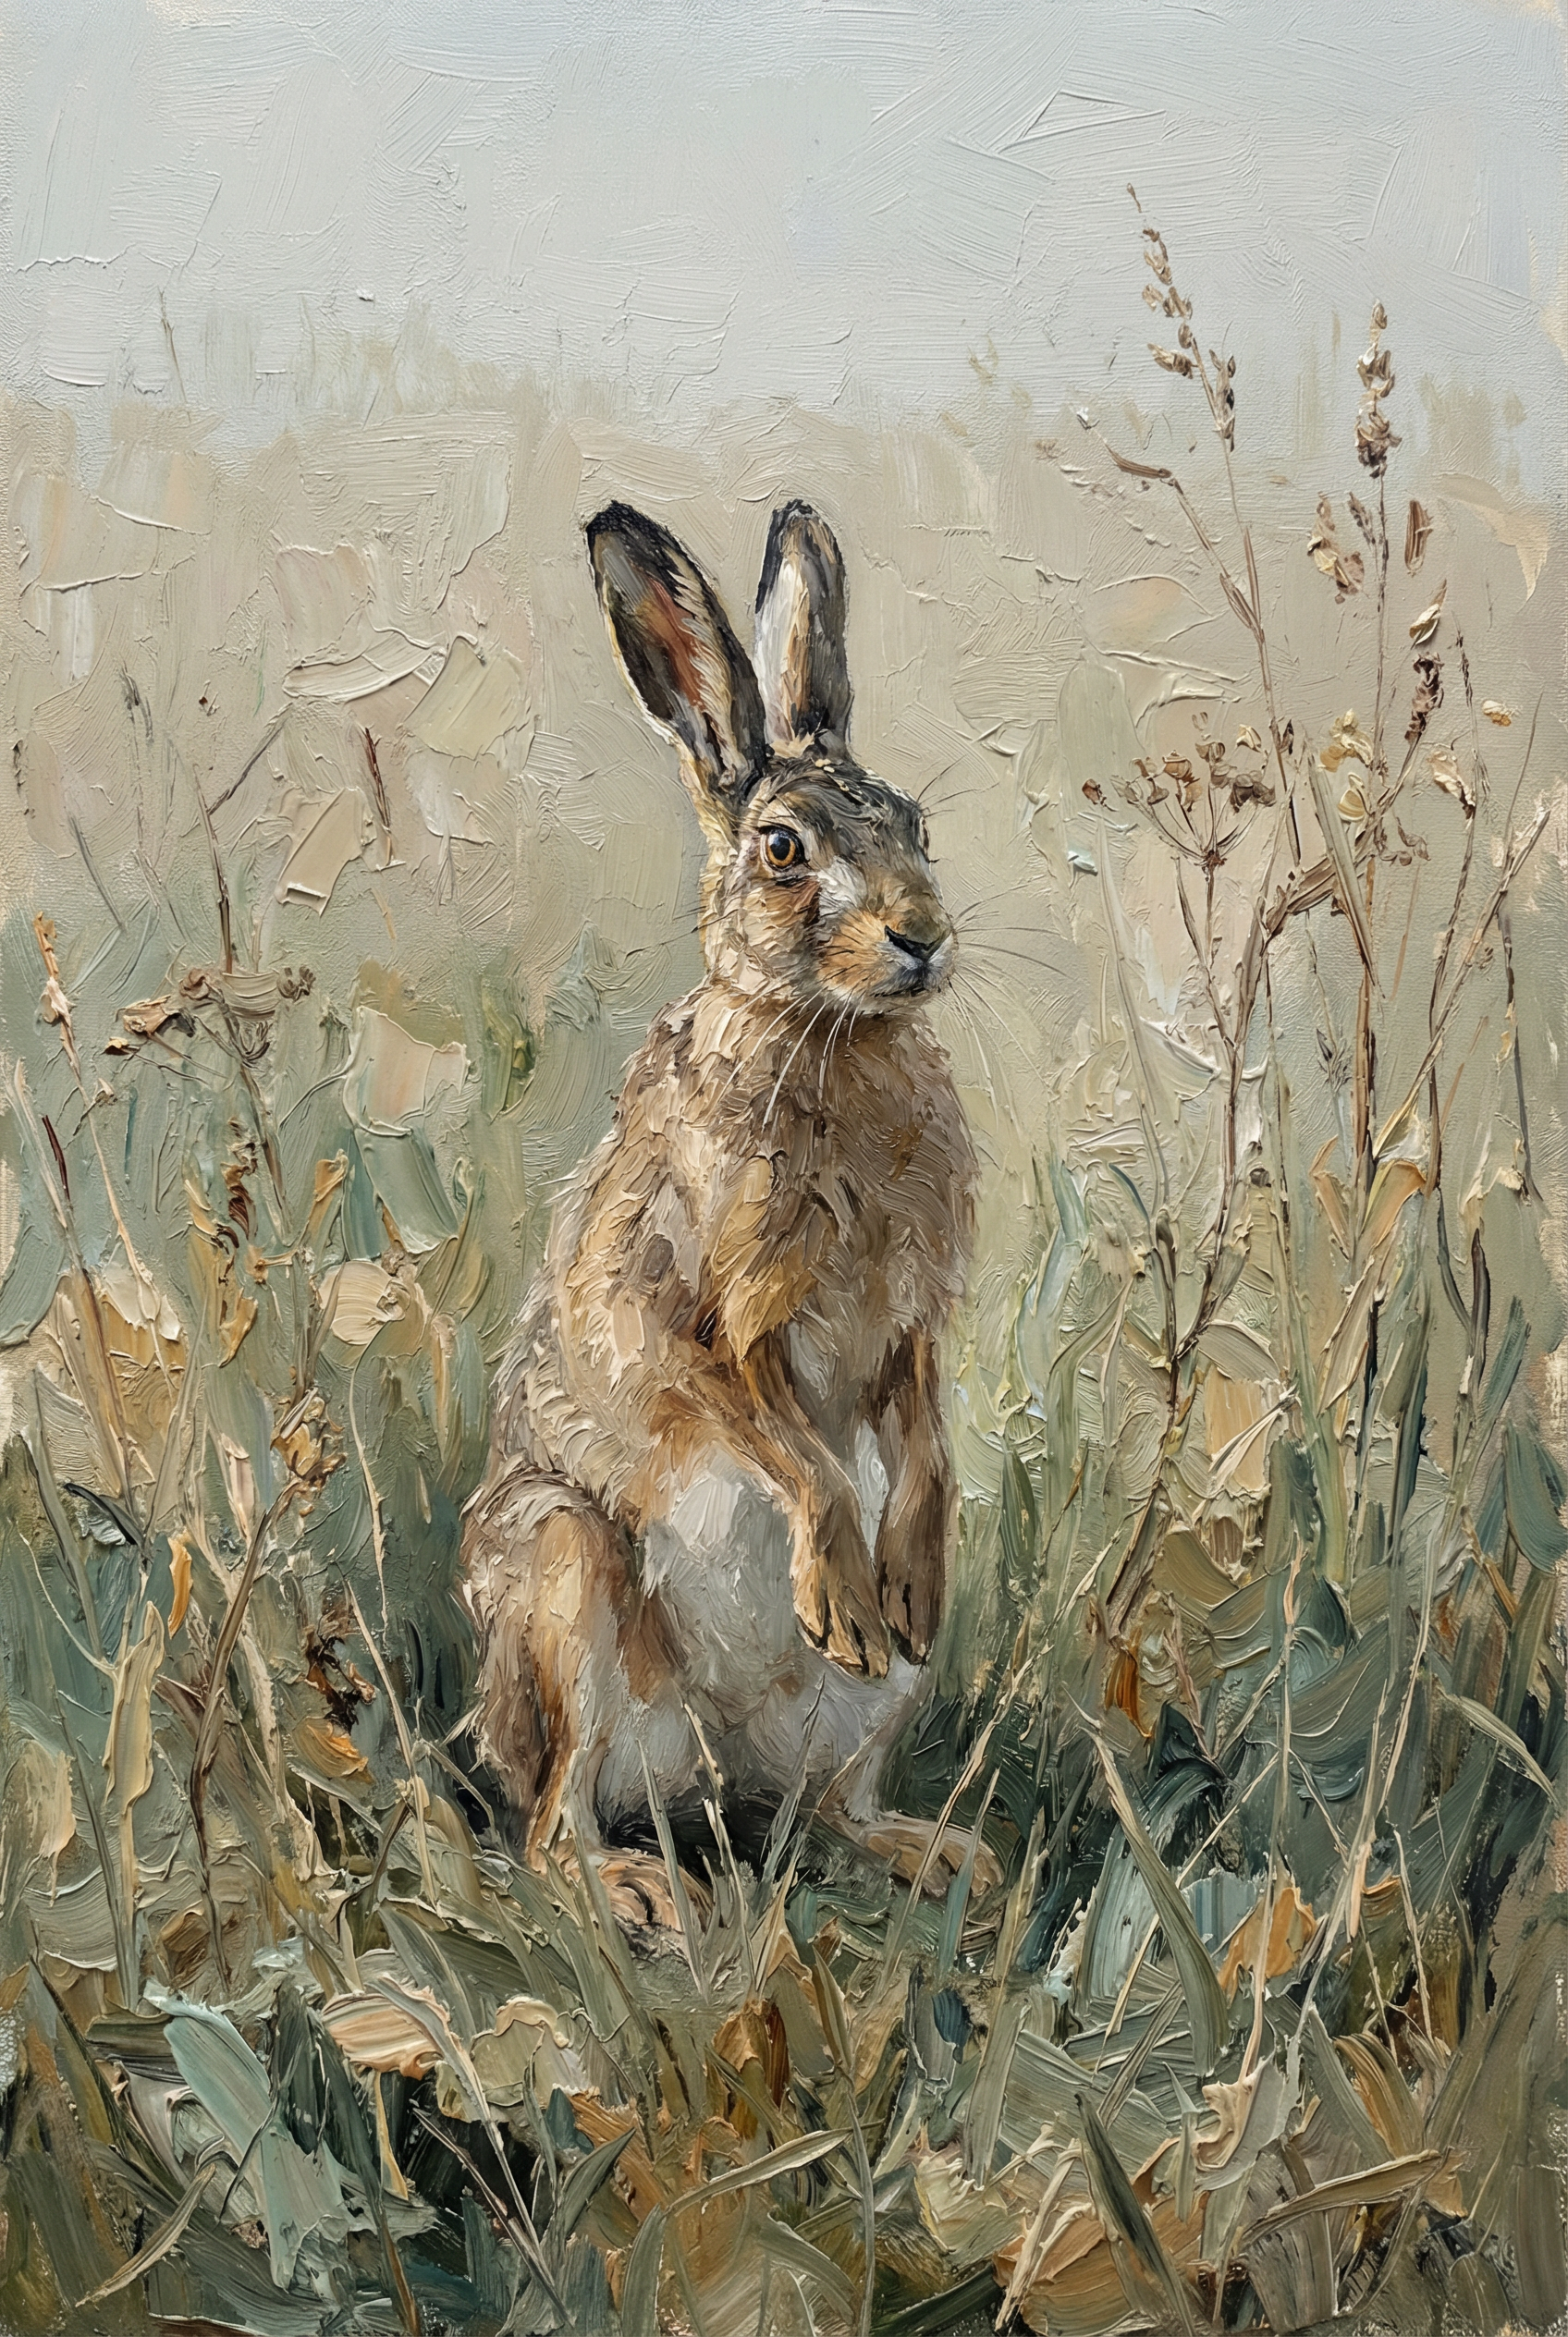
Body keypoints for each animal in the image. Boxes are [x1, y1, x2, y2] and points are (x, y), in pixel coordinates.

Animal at [461, 497, 991, 1926]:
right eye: (783, 852)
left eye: (918, 823)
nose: (923, 938)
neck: (830, 1034)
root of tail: (703, 1774)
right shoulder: (689, 1319)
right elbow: (791, 1448)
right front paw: (847, 1589)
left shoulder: (907, 1322)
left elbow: (917, 1434)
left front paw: (908, 1573)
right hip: (561, 1579)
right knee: (549, 1828)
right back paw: (643, 1895)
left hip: (871, 1708)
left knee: (824, 1809)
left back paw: (937, 1850)